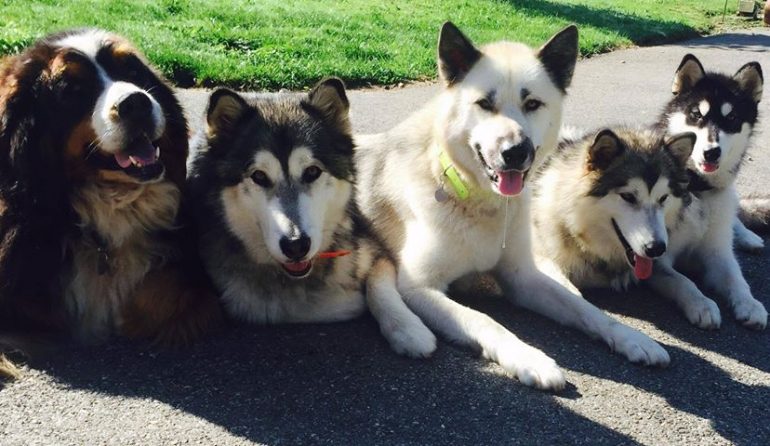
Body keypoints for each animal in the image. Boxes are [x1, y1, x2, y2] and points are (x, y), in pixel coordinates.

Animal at [354, 22, 664, 388]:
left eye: (532, 103)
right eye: (484, 103)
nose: (516, 152)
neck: (478, 197)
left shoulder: (522, 277)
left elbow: (585, 309)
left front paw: (632, 338)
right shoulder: (419, 287)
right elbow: (485, 321)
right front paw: (529, 358)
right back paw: (409, 331)